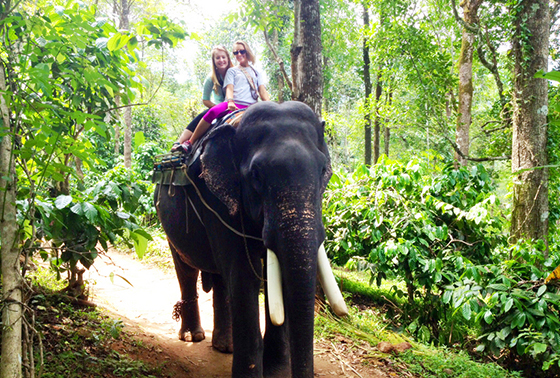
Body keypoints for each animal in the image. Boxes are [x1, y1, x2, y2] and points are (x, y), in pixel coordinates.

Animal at [154, 101, 346, 378]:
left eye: (323, 171)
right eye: (256, 175)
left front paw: (276, 370)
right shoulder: (215, 199)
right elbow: (245, 272)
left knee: (221, 277)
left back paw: (225, 346)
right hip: (167, 219)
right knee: (187, 269)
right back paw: (193, 337)